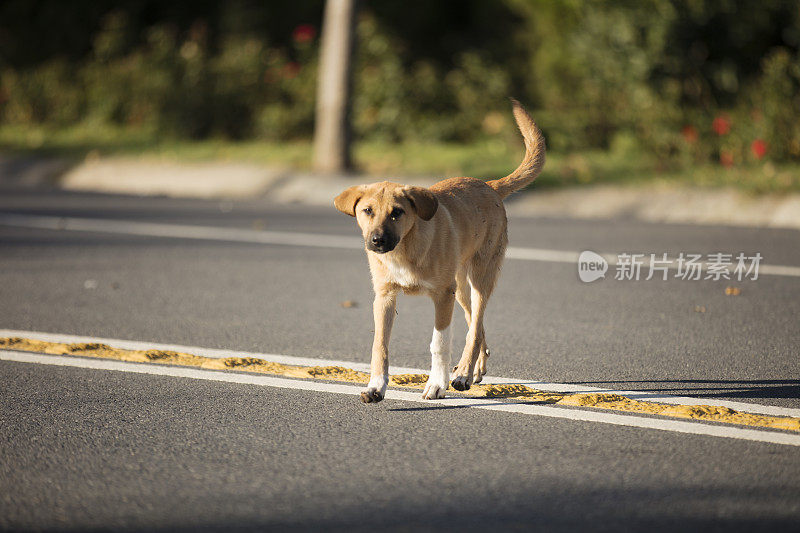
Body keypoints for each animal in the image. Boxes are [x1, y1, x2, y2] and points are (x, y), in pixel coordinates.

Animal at [332, 98, 544, 404]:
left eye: (397, 212)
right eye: (367, 211)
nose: (378, 241)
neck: (405, 249)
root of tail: (489, 185)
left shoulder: (442, 296)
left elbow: (439, 342)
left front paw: (436, 384)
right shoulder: (384, 296)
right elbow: (379, 345)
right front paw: (376, 386)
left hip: (480, 277)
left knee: (474, 327)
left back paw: (463, 374)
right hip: (461, 288)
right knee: (475, 324)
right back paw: (475, 367)